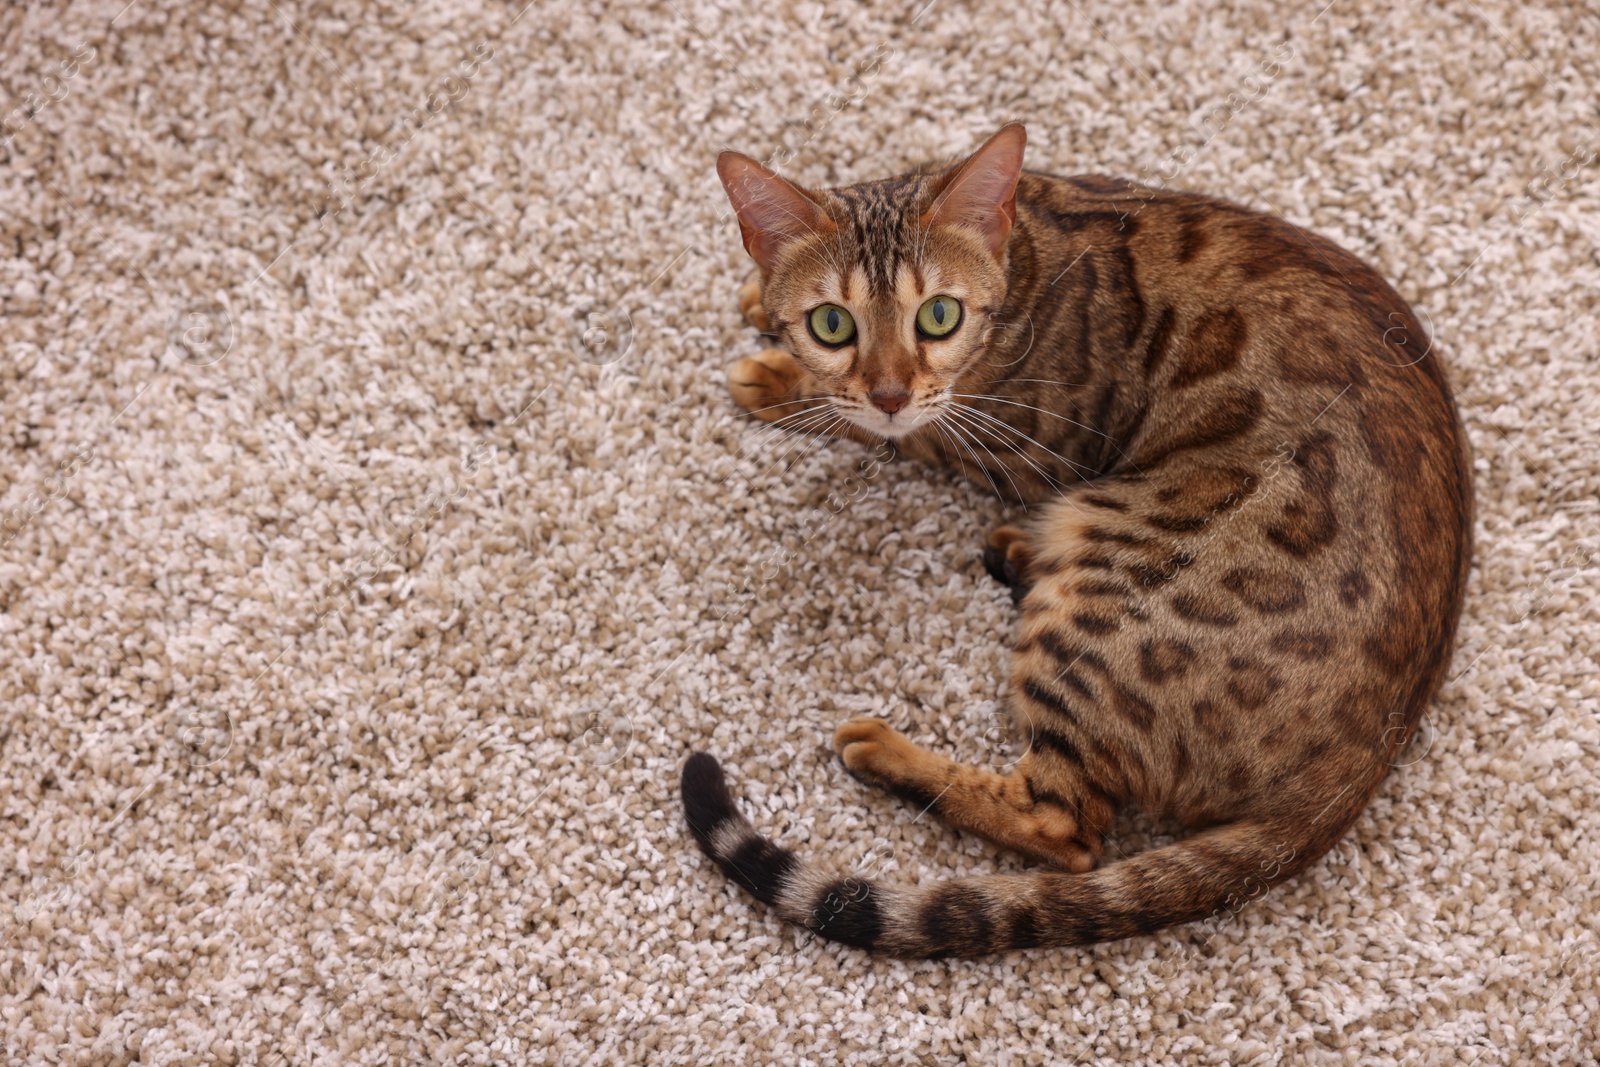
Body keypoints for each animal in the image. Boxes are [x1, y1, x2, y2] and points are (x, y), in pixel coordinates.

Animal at [681, 120, 1465, 953]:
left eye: (938, 316)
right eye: (833, 322)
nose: (889, 389)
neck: (1025, 251)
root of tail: (1368, 754)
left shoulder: (1012, 440)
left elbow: (888, 423)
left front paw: (777, 375)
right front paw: (760, 295)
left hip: (1104, 601)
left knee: (1066, 830)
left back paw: (888, 748)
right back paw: (1017, 552)